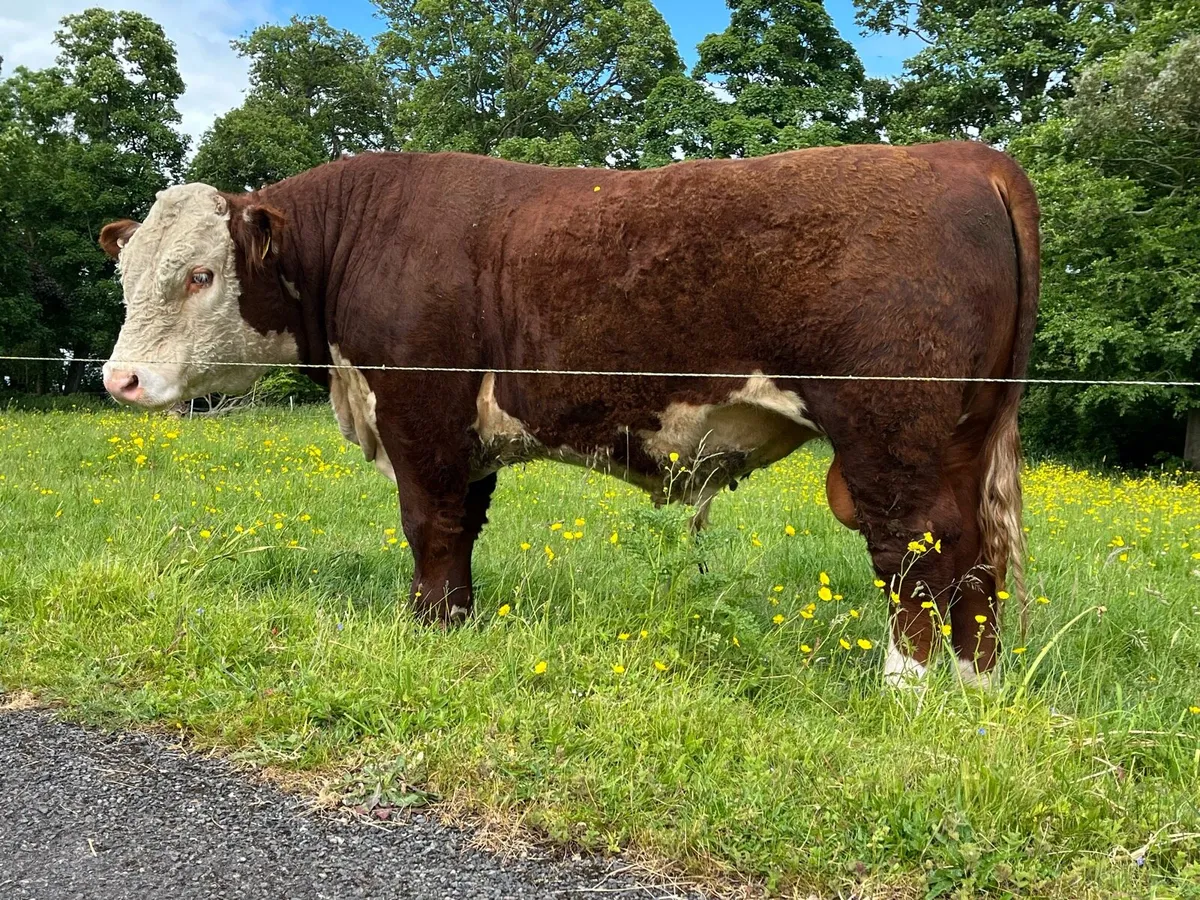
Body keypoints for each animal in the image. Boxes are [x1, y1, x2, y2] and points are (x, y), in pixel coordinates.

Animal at [98, 142, 1039, 688]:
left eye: (200, 274)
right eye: (128, 271)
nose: (121, 378)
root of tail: (967, 156)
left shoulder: (420, 408)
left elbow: (428, 523)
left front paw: (425, 631)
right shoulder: (463, 435)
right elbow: (460, 529)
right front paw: (456, 624)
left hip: (891, 435)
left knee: (917, 552)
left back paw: (908, 692)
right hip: (963, 437)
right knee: (976, 560)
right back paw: (974, 690)